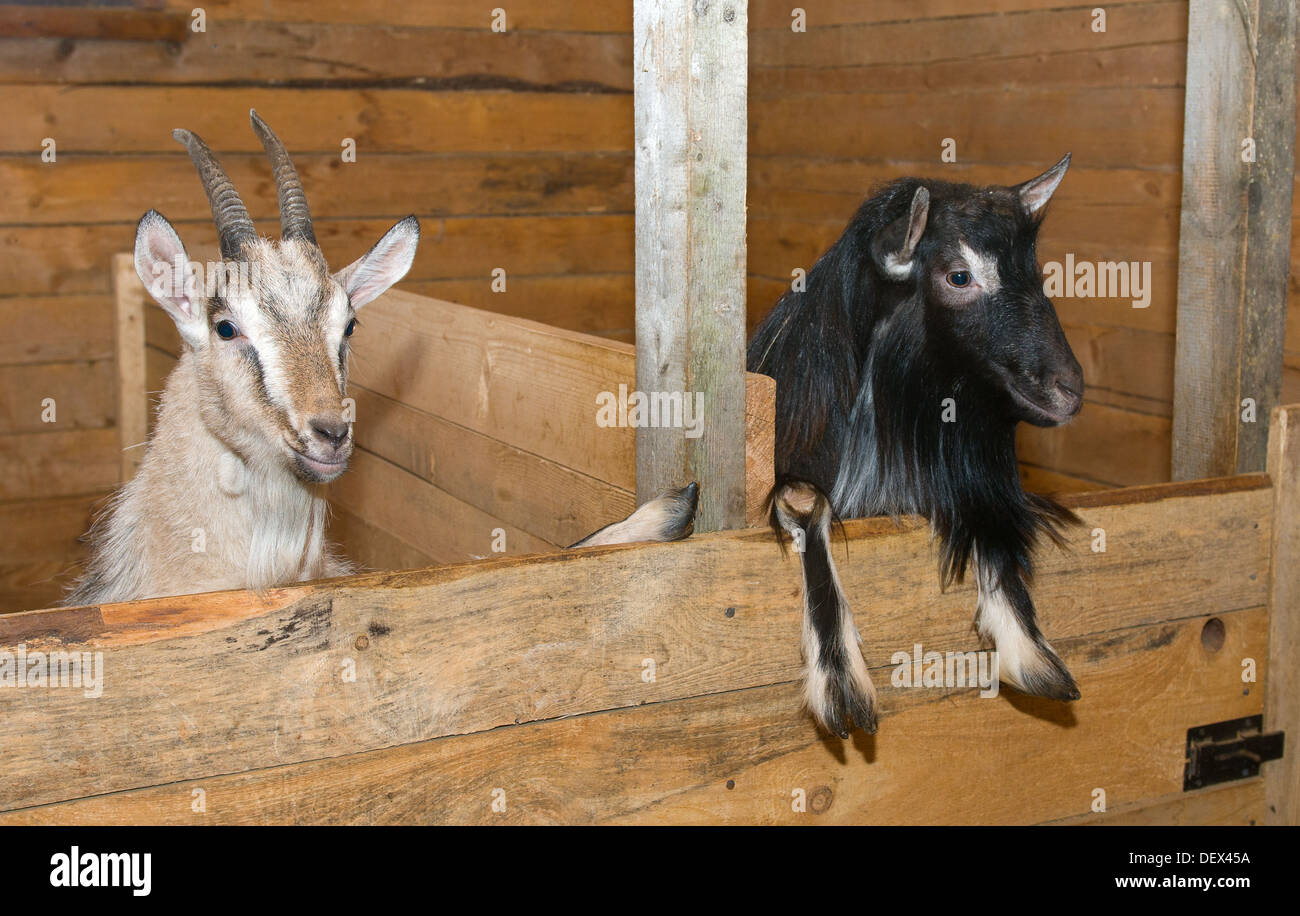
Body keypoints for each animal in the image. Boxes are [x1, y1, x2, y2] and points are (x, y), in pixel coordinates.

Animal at [749, 155, 1083, 737]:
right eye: (959, 275)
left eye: (1035, 272)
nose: (1069, 390)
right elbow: (808, 504)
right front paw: (840, 680)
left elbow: (990, 515)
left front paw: (1029, 648)